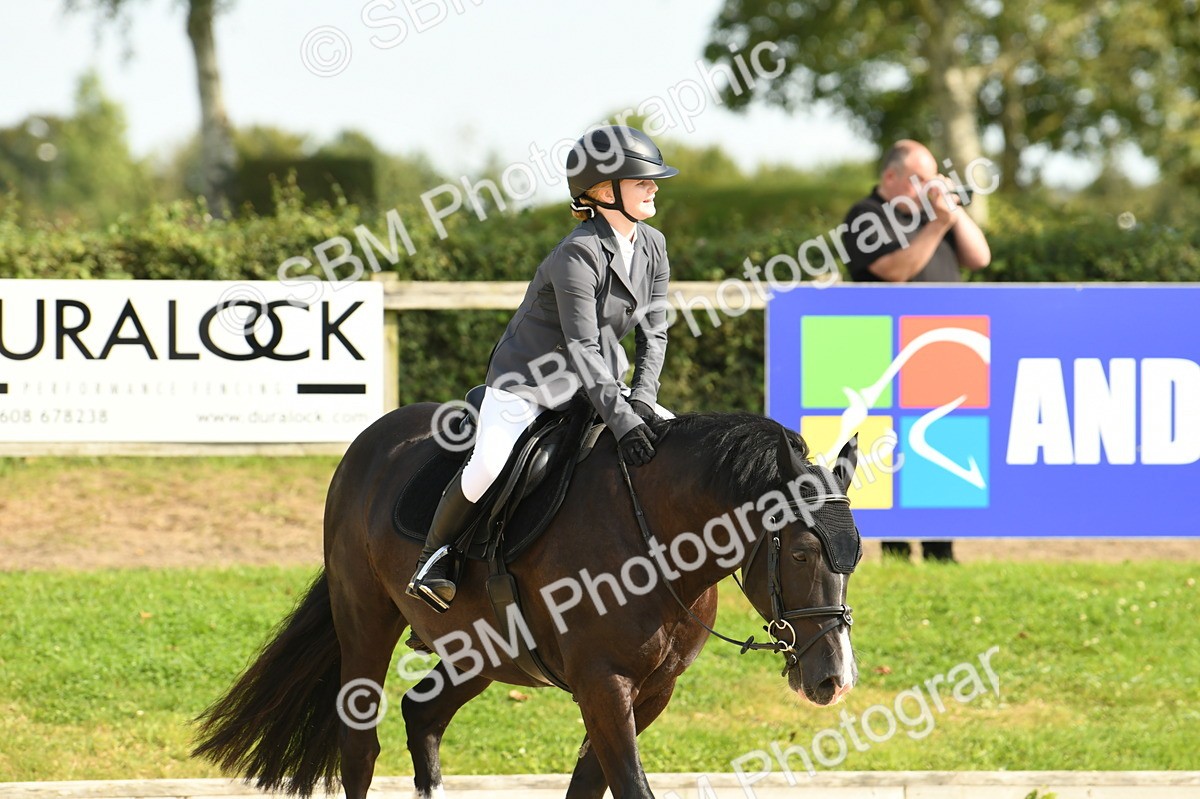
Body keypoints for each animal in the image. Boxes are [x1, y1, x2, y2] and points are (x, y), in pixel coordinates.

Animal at [192, 403, 862, 799]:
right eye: (801, 555)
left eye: (853, 558)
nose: (834, 680)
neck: (657, 535)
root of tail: (372, 439)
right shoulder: (604, 684)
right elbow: (629, 787)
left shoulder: (651, 691)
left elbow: (589, 787)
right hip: (365, 620)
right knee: (360, 742)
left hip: (481, 651)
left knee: (423, 715)